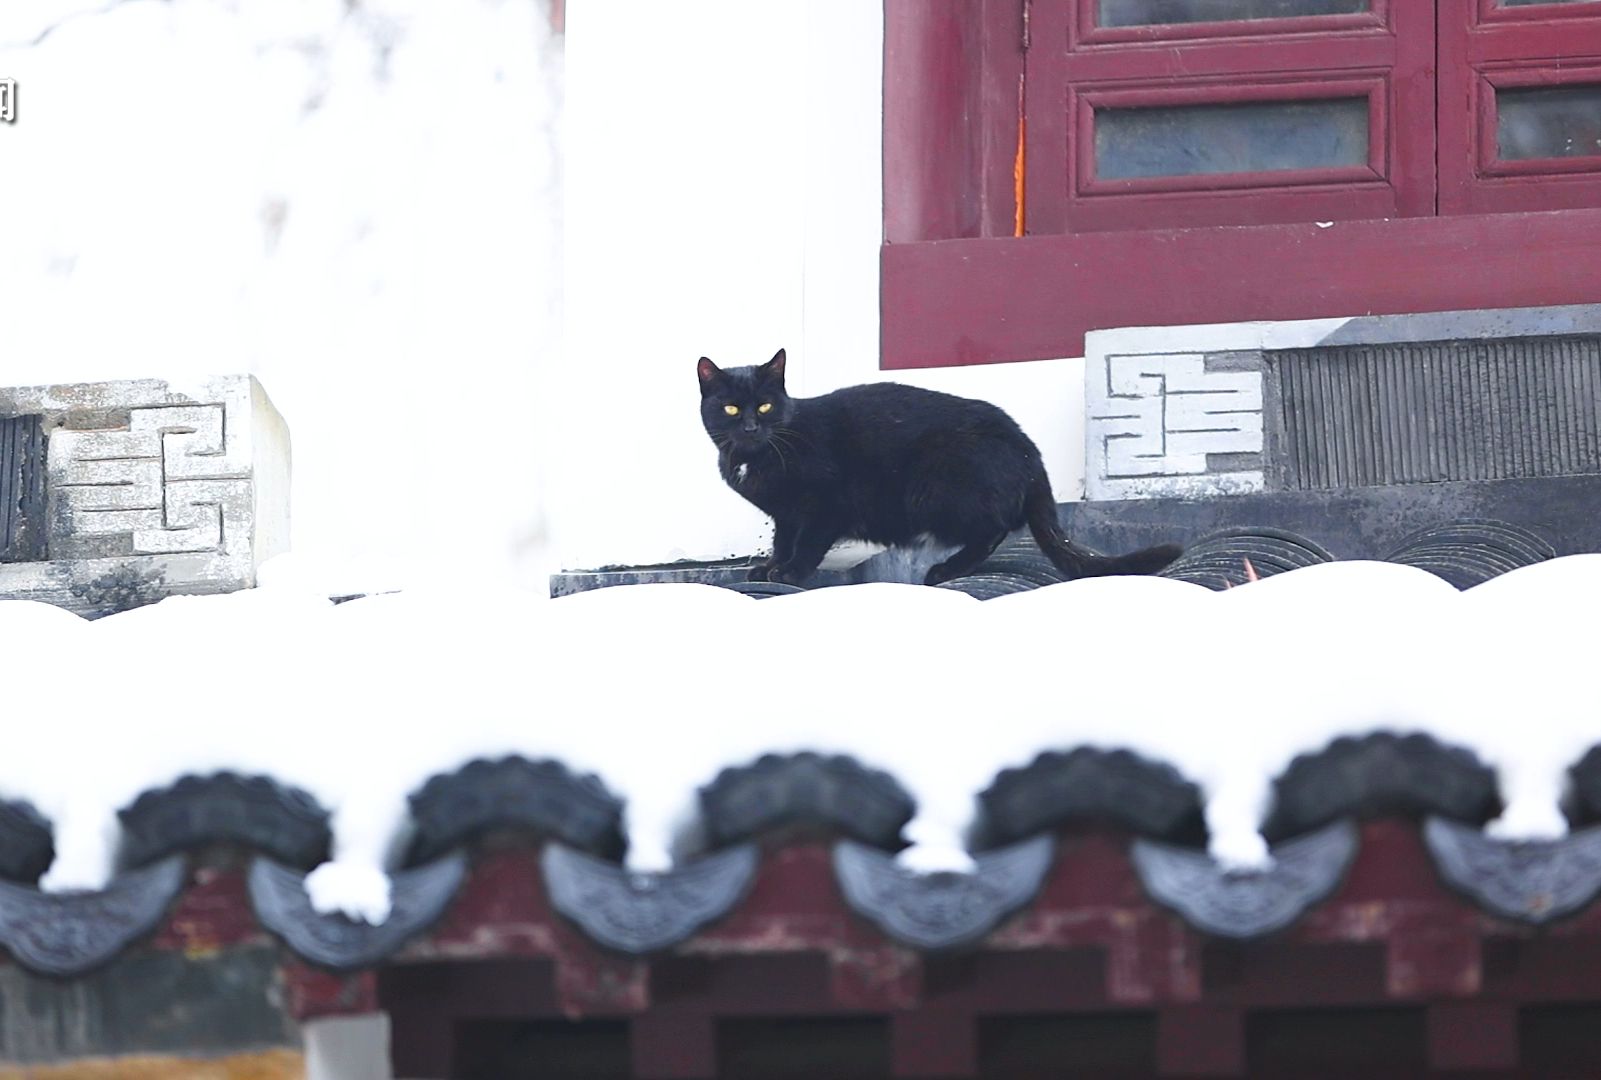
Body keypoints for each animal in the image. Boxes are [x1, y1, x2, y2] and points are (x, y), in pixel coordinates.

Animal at [694, 350, 1184, 588]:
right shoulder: (786, 514)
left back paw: (944, 571)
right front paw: (770, 568)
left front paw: (790, 573)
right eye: (731, 407)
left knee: (997, 528)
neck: (757, 457)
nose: (752, 426)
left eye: (765, 405)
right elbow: (783, 539)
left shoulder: (823, 505)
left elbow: (808, 544)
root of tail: (1029, 450)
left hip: (934, 487)